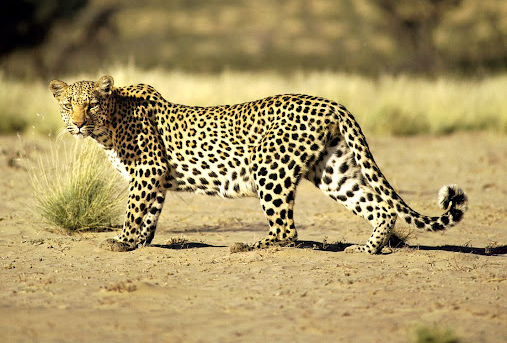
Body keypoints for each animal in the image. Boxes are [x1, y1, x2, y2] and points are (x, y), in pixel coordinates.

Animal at [49, 76, 470, 254]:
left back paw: (247, 245)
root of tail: (332, 102)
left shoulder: (147, 171)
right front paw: (138, 243)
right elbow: (148, 214)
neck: (111, 122)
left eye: (91, 104)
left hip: (270, 166)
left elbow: (134, 209)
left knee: (287, 231)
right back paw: (368, 249)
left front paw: (121, 242)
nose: (78, 123)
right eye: (69, 105)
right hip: (332, 170)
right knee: (380, 207)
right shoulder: (154, 178)